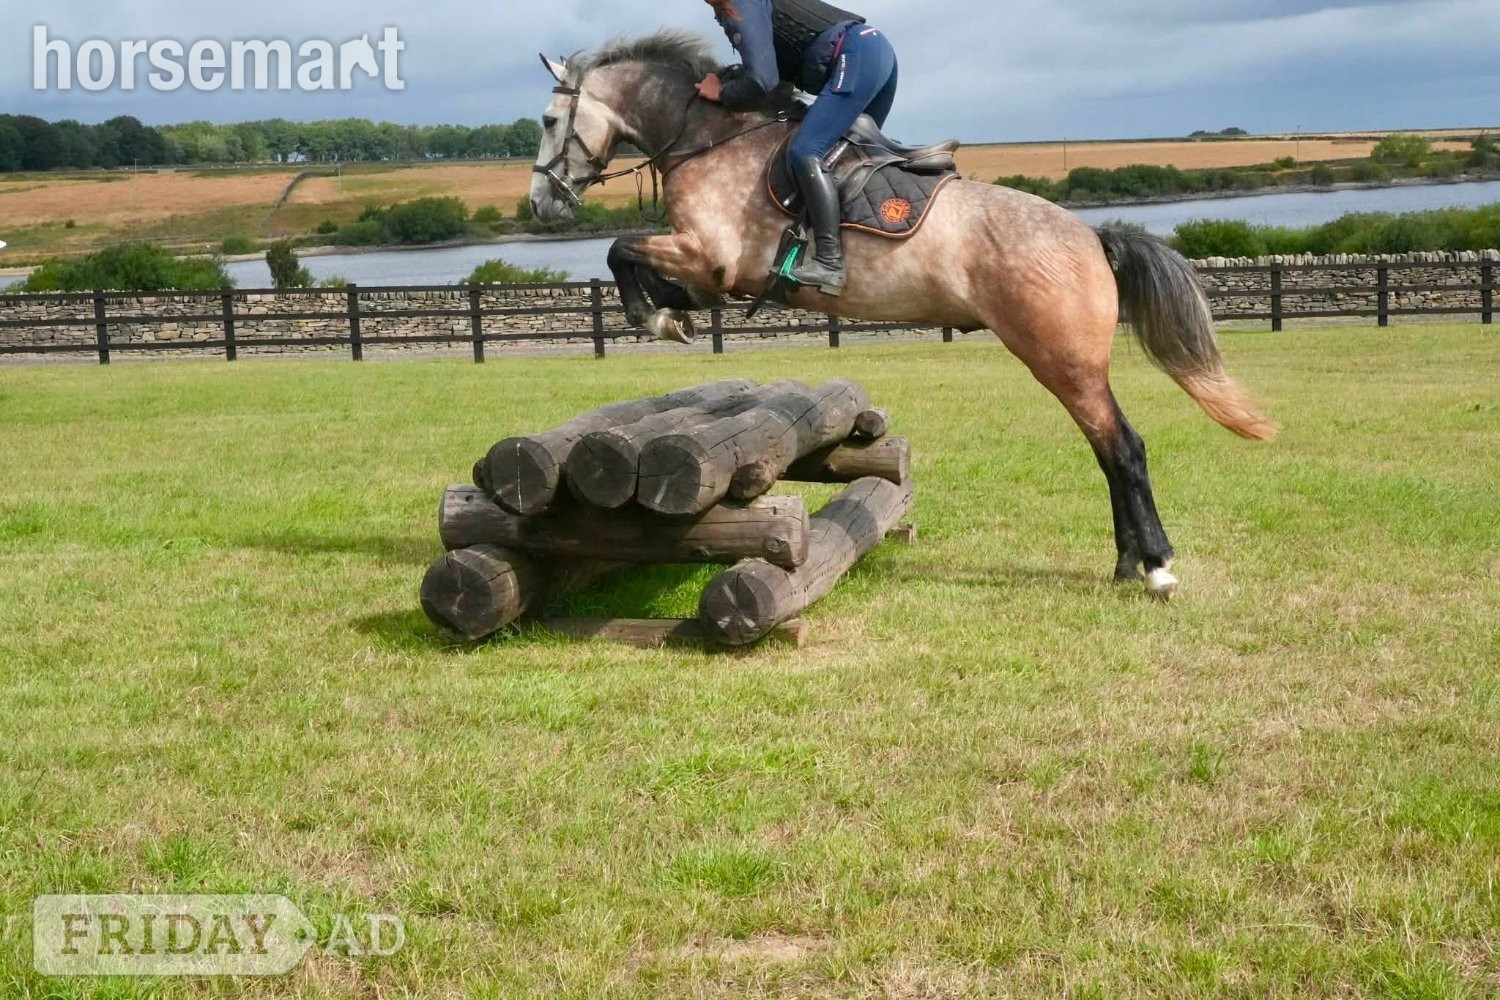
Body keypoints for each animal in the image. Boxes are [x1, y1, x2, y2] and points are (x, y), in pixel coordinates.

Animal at [528, 31, 1277, 598]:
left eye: (545, 122)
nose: (542, 204)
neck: (708, 139)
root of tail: (1092, 236)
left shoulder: (710, 258)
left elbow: (621, 249)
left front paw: (648, 316)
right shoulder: (719, 279)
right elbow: (640, 265)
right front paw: (667, 319)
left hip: (1062, 359)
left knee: (1123, 448)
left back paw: (1156, 569)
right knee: (1107, 450)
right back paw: (1126, 564)